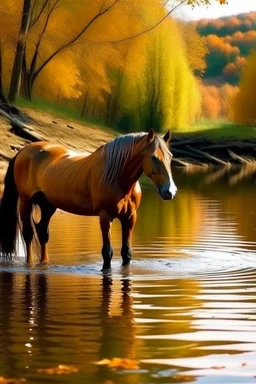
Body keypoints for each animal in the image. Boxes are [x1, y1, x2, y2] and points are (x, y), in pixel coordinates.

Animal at [0, 127, 176, 268]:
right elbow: (107, 252)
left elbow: (127, 253)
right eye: (154, 157)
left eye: (170, 156)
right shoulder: (105, 216)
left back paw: (45, 263)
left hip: (48, 205)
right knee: (28, 235)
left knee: (43, 233)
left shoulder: (130, 217)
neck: (117, 177)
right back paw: (29, 265)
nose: (170, 191)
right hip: (26, 202)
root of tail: (23, 151)